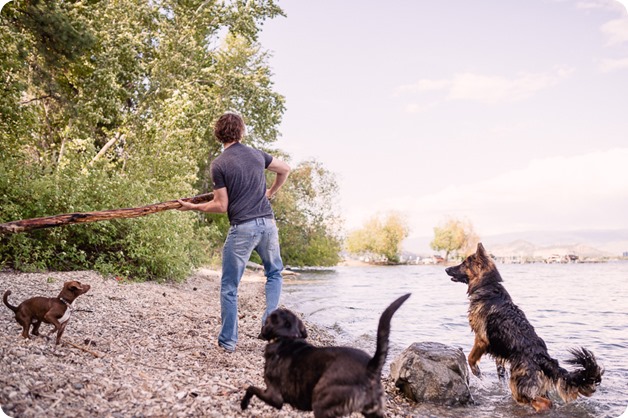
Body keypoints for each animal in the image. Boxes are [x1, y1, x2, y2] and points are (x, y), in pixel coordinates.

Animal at [240, 294, 412, 418]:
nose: (262, 330)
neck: (287, 337)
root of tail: (370, 367)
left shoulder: (274, 396)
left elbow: (250, 388)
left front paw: (244, 404)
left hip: (322, 403)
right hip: (373, 411)